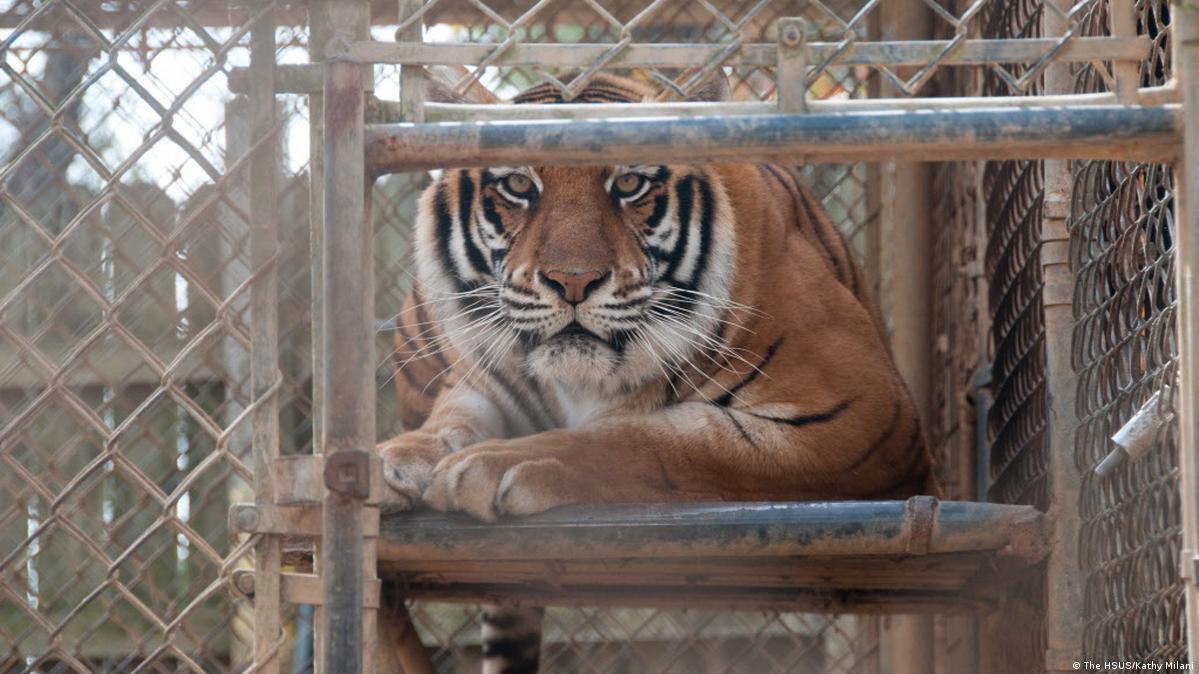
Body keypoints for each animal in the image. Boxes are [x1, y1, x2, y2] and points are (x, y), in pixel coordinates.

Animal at [376, 70, 937, 674]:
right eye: (519, 186)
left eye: (629, 184)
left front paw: (494, 464)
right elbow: (448, 422)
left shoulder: (862, 415)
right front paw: (390, 459)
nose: (573, 282)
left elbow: (649, 440)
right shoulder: (484, 380)